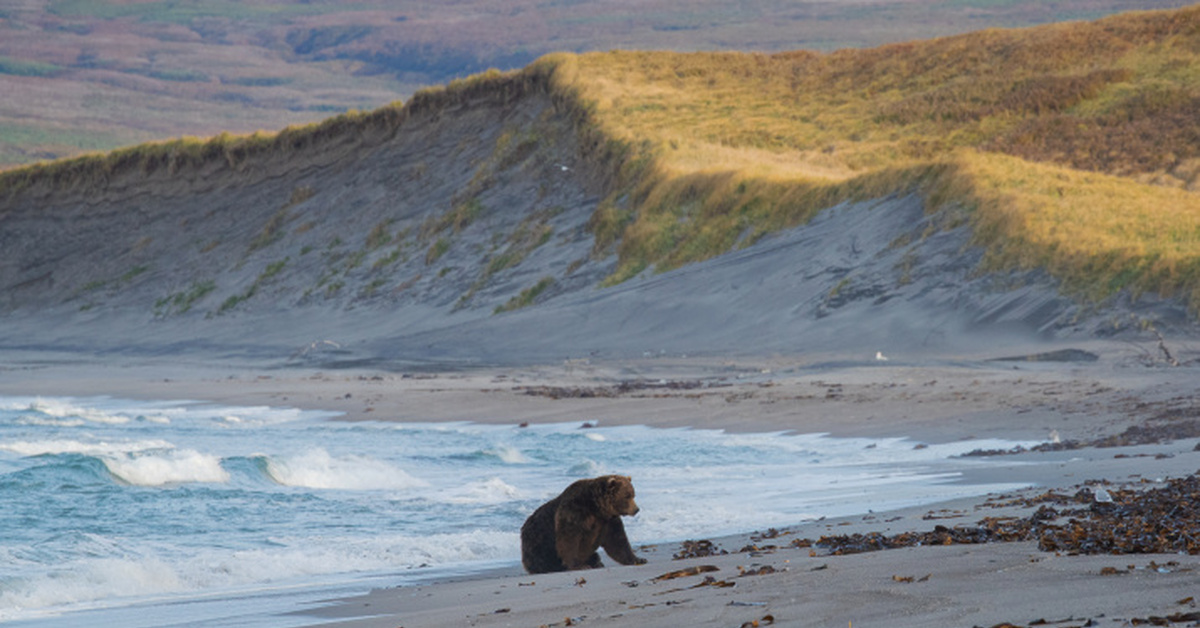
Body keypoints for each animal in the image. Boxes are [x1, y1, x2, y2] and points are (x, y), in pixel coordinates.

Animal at [518, 477, 648, 573]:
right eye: (627, 495)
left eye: (633, 494)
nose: (636, 509)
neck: (596, 508)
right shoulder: (574, 512)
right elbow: (569, 540)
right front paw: (579, 565)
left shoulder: (608, 520)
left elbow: (618, 541)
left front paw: (639, 559)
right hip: (538, 542)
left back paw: (596, 562)